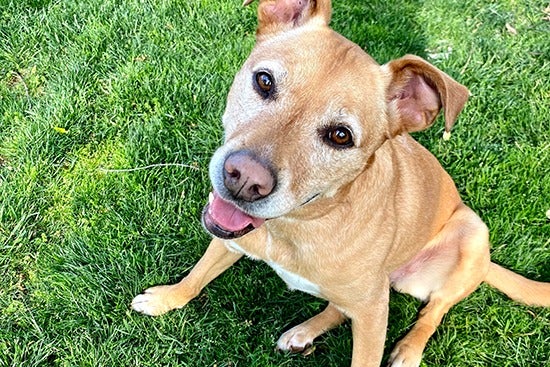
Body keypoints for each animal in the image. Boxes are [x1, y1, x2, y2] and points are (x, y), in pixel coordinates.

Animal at [133, 1, 550, 366]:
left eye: (340, 136)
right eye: (264, 81)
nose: (244, 180)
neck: (297, 226)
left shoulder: (373, 315)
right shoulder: (231, 237)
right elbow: (198, 273)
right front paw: (167, 298)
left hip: (470, 233)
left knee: (434, 310)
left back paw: (409, 350)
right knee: (339, 306)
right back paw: (304, 332)